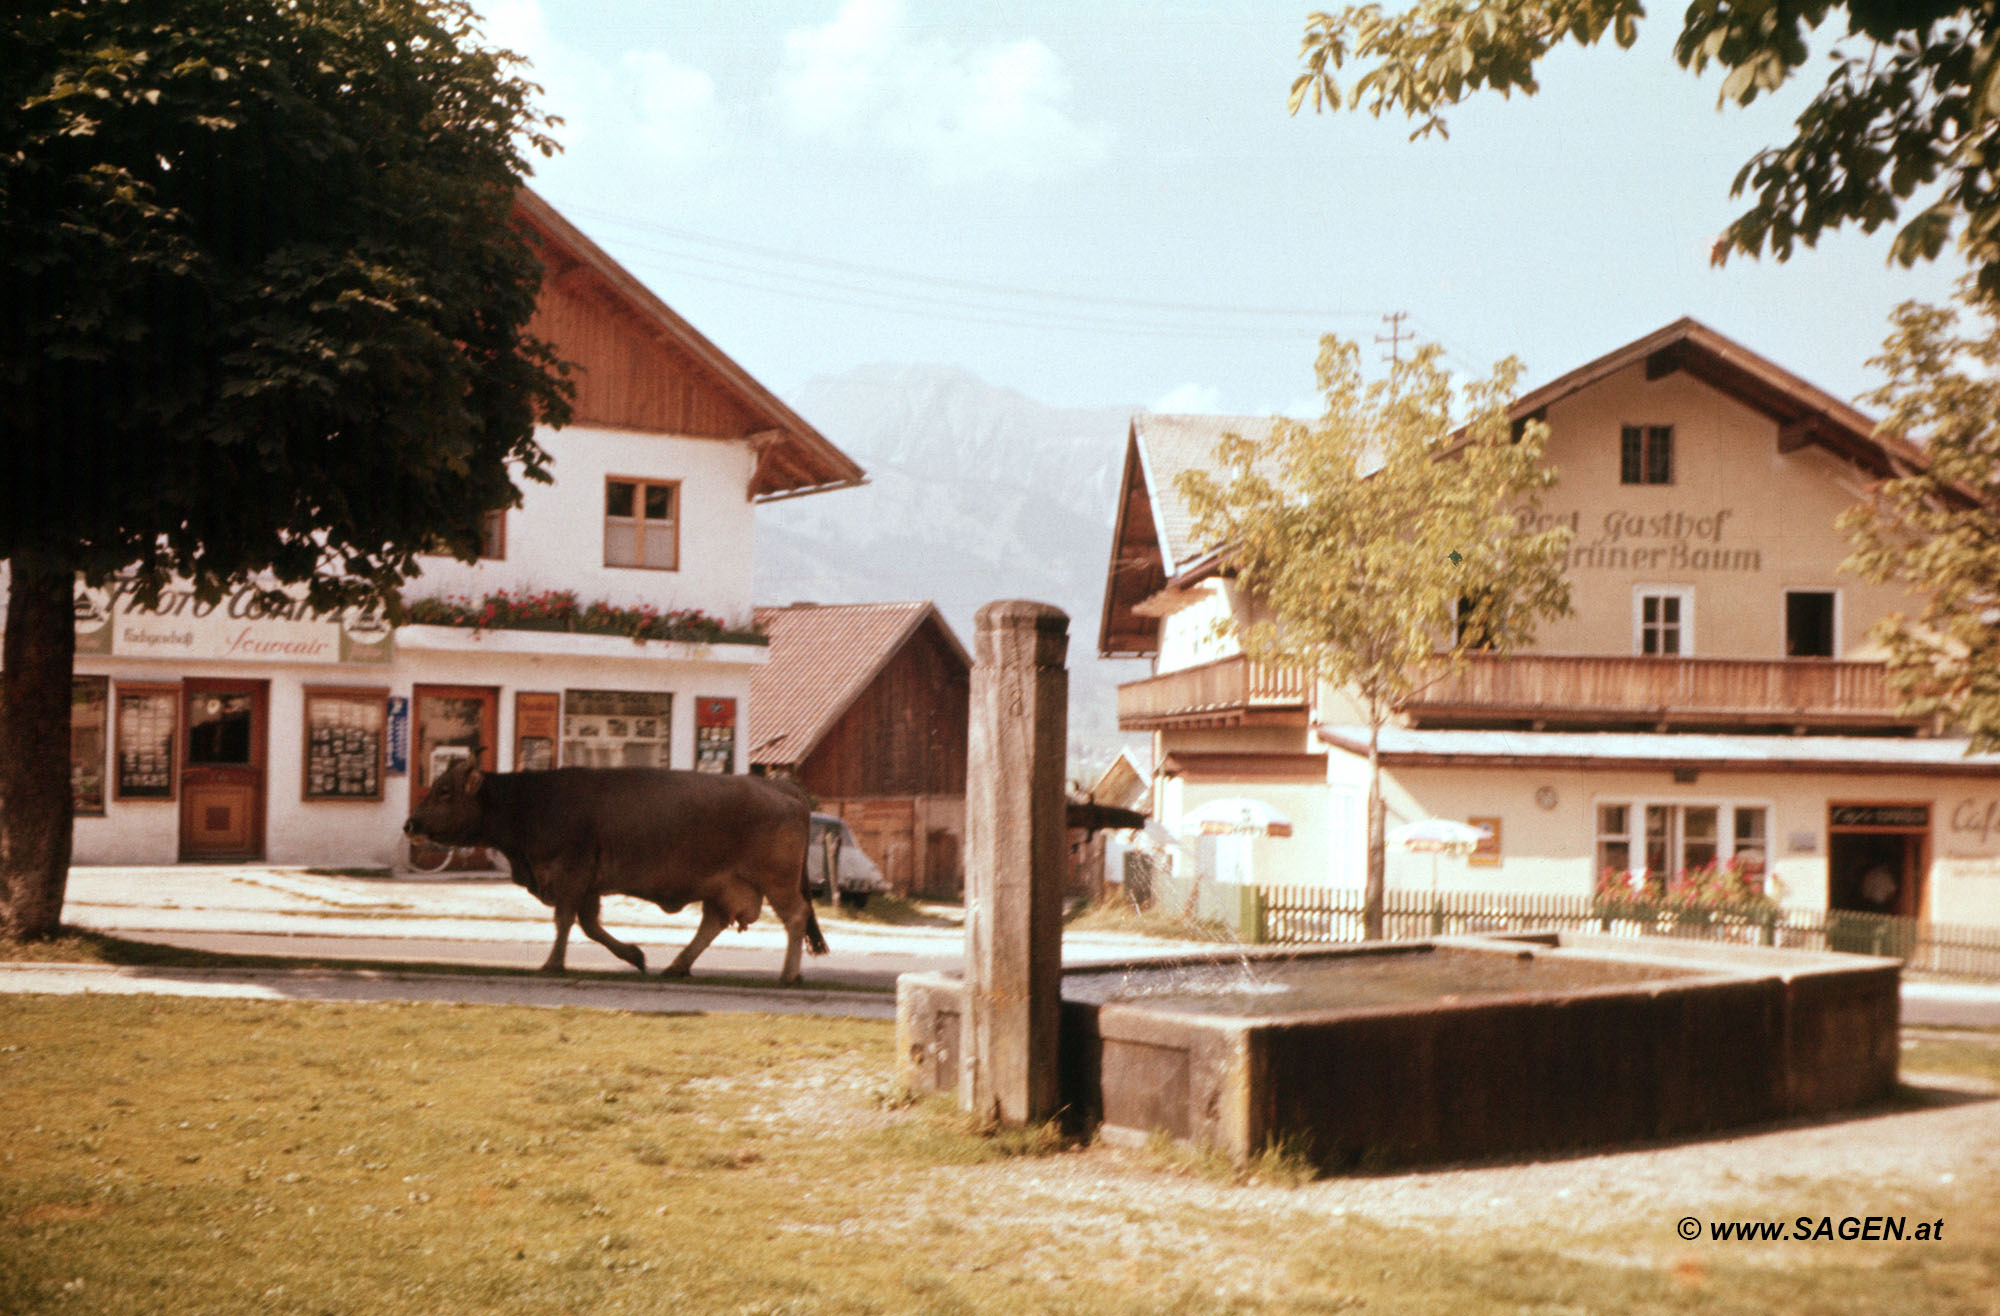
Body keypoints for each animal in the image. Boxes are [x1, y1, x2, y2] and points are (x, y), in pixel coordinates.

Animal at [406, 752, 828, 980]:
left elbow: (565, 921)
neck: (533, 801)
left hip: (776, 882)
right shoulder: (588, 886)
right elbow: (590, 926)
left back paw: (788, 974)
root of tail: (780, 786)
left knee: (795, 917)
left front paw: (552, 963)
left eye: (444, 790)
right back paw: (676, 965)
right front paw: (634, 955)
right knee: (712, 923)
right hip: (724, 886)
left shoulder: (571, 874)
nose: (410, 824)